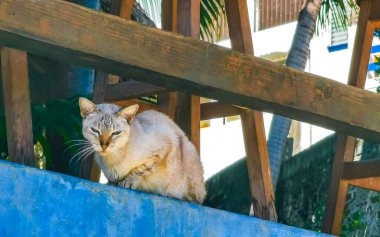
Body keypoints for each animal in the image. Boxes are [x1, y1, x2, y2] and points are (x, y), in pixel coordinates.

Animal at [78, 97, 206, 204]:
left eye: (116, 133)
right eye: (95, 130)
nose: (104, 146)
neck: (112, 159)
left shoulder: (164, 146)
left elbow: (140, 169)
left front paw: (127, 182)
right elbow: (113, 179)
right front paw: (112, 183)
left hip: (187, 153)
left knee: (194, 199)